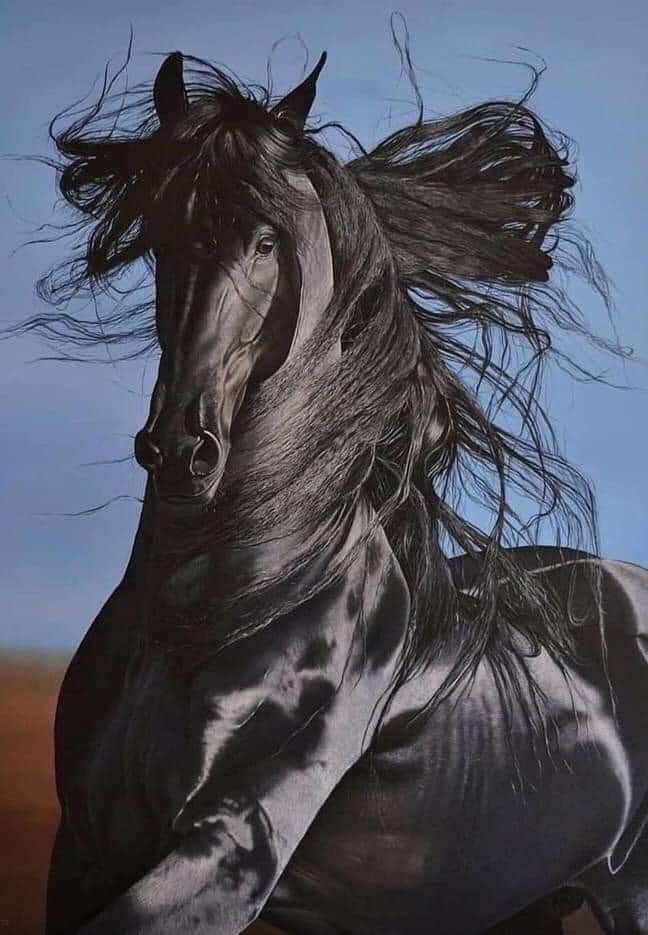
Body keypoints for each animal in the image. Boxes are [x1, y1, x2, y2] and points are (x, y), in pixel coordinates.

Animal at [29, 45, 648, 934]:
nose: (181, 449)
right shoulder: (83, 852)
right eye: (161, 231)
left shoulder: (231, 848)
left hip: (631, 889)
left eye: (267, 241)